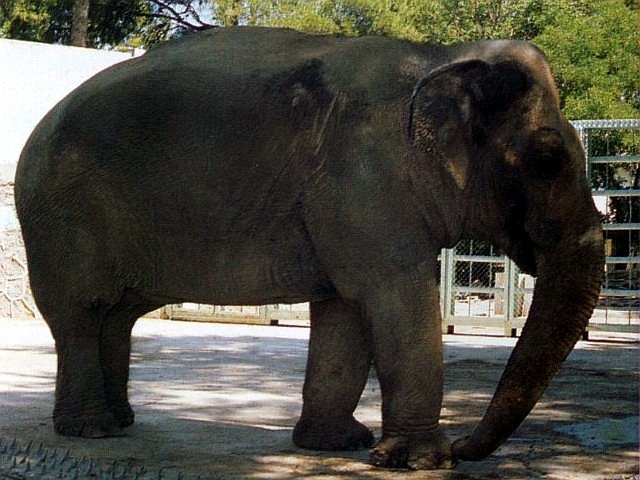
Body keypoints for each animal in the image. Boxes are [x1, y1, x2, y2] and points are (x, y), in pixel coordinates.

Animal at [15, 26, 604, 470]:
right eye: (547, 161)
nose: (464, 445)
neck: (443, 59)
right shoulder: (364, 180)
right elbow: (394, 299)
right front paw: (421, 462)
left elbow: (344, 313)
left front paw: (339, 445)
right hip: (60, 217)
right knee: (82, 314)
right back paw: (92, 431)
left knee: (116, 317)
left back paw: (120, 422)